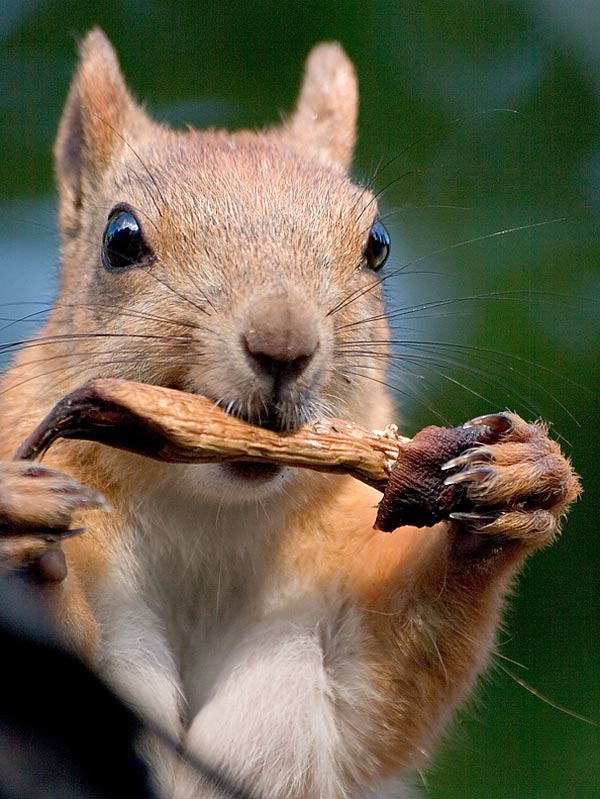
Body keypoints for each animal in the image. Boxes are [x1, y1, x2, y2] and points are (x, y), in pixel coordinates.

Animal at [0, 29, 581, 799]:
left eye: (377, 244)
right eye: (120, 238)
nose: (283, 344)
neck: (208, 521)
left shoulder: (324, 618)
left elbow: (376, 699)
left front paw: (519, 479)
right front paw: (23, 535)